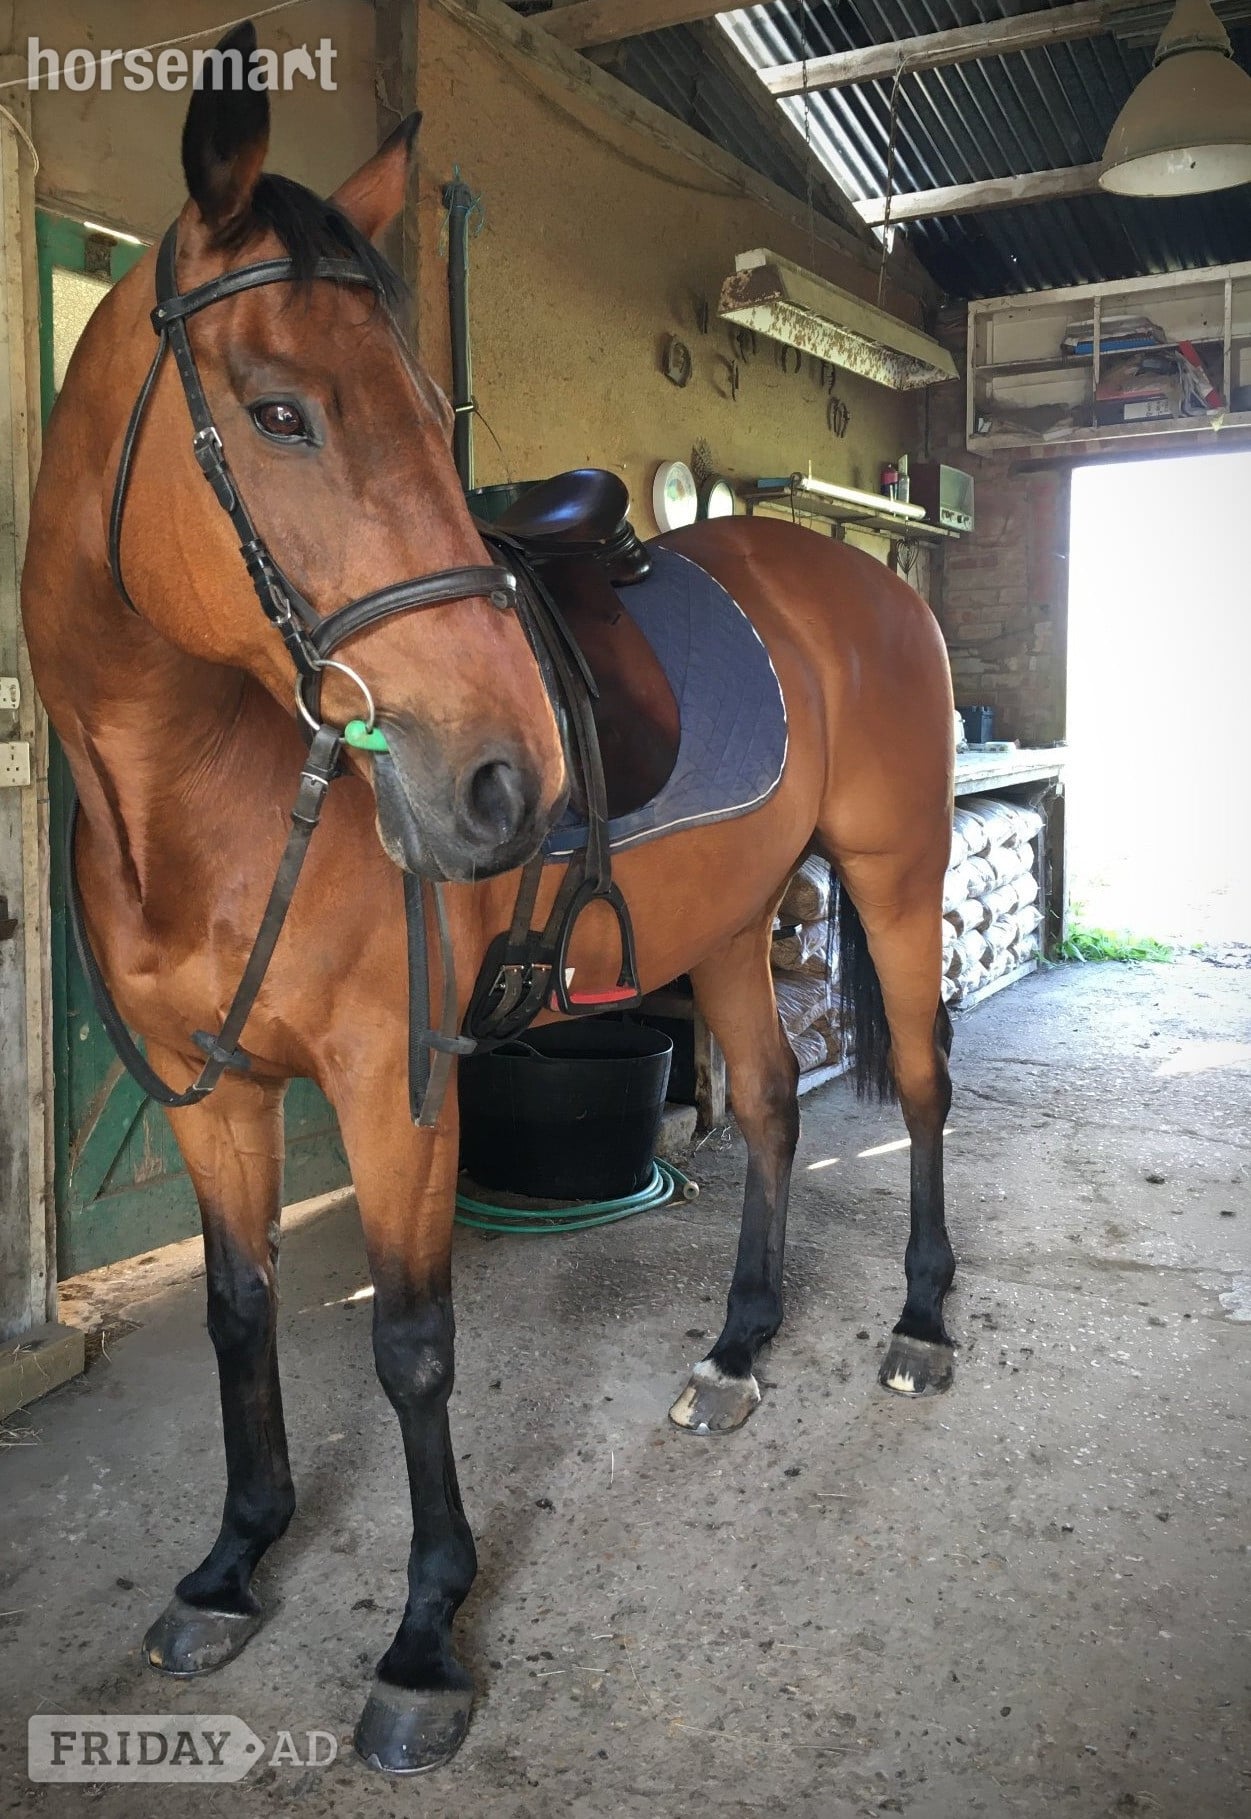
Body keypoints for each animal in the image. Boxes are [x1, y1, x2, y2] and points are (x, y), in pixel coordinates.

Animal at [21, 29, 956, 1776]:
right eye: (278, 411)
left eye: (424, 405)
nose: (506, 781)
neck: (201, 788)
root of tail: (866, 578)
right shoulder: (209, 1090)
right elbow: (241, 1314)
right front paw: (233, 1558)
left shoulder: (396, 1092)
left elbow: (408, 1344)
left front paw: (422, 1635)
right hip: (730, 926)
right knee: (771, 1105)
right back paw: (736, 1348)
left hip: (895, 876)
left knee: (923, 1089)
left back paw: (923, 1323)